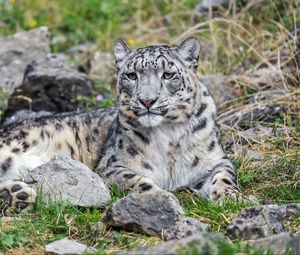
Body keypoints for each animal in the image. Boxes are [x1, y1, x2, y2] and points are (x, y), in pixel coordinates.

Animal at [0, 37, 239, 211]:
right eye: (132, 75)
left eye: (168, 74)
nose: (147, 100)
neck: (170, 137)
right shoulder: (113, 167)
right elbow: (137, 181)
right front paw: (162, 197)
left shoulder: (214, 160)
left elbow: (225, 176)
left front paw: (229, 197)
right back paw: (16, 195)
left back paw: (17, 195)